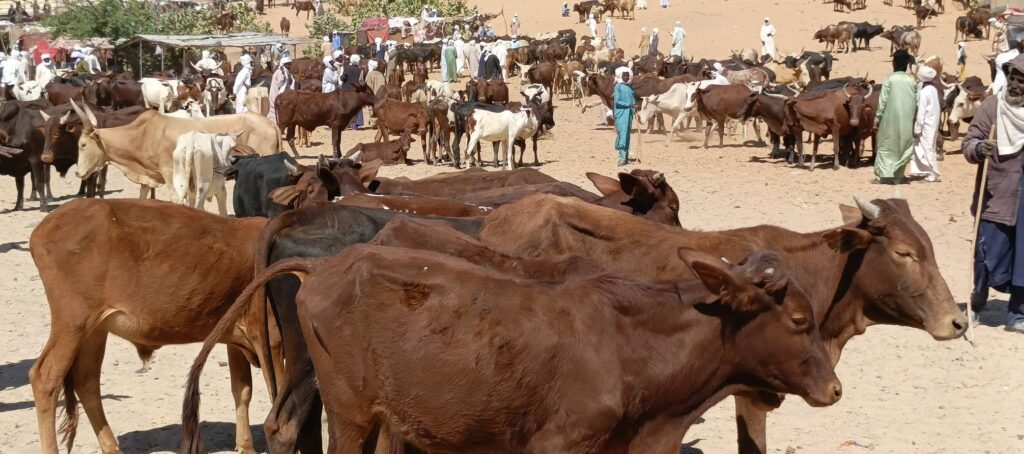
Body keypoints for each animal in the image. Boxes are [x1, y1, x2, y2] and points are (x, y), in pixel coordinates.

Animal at [28, 198, 268, 454]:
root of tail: (45, 226)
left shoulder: (236, 337)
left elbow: (242, 389)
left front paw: (246, 446)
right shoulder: (266, 338)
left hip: (94, 330)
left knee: (86, 380)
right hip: (73, 322)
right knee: (46, 378)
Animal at [71, 102, 281, 198]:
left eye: (82, 145)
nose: (78, 172)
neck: (142, 134)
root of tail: (269, 123)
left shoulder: (169, 174)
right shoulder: (148, 178)